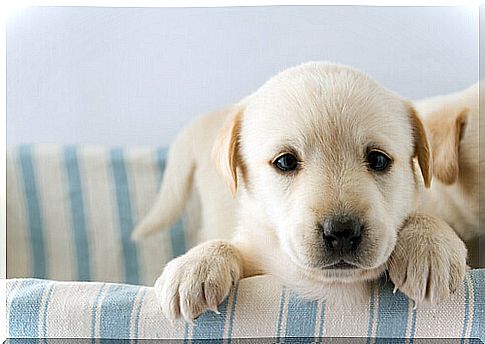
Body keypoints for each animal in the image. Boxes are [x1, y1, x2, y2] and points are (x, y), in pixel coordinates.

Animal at [131, 62, 466, 322]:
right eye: (286, 161)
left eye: (378, 160)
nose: (341, 230)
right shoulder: (255, 248)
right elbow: (232, 245)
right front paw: (195, 265)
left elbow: (423, 215)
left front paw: (430, 246)